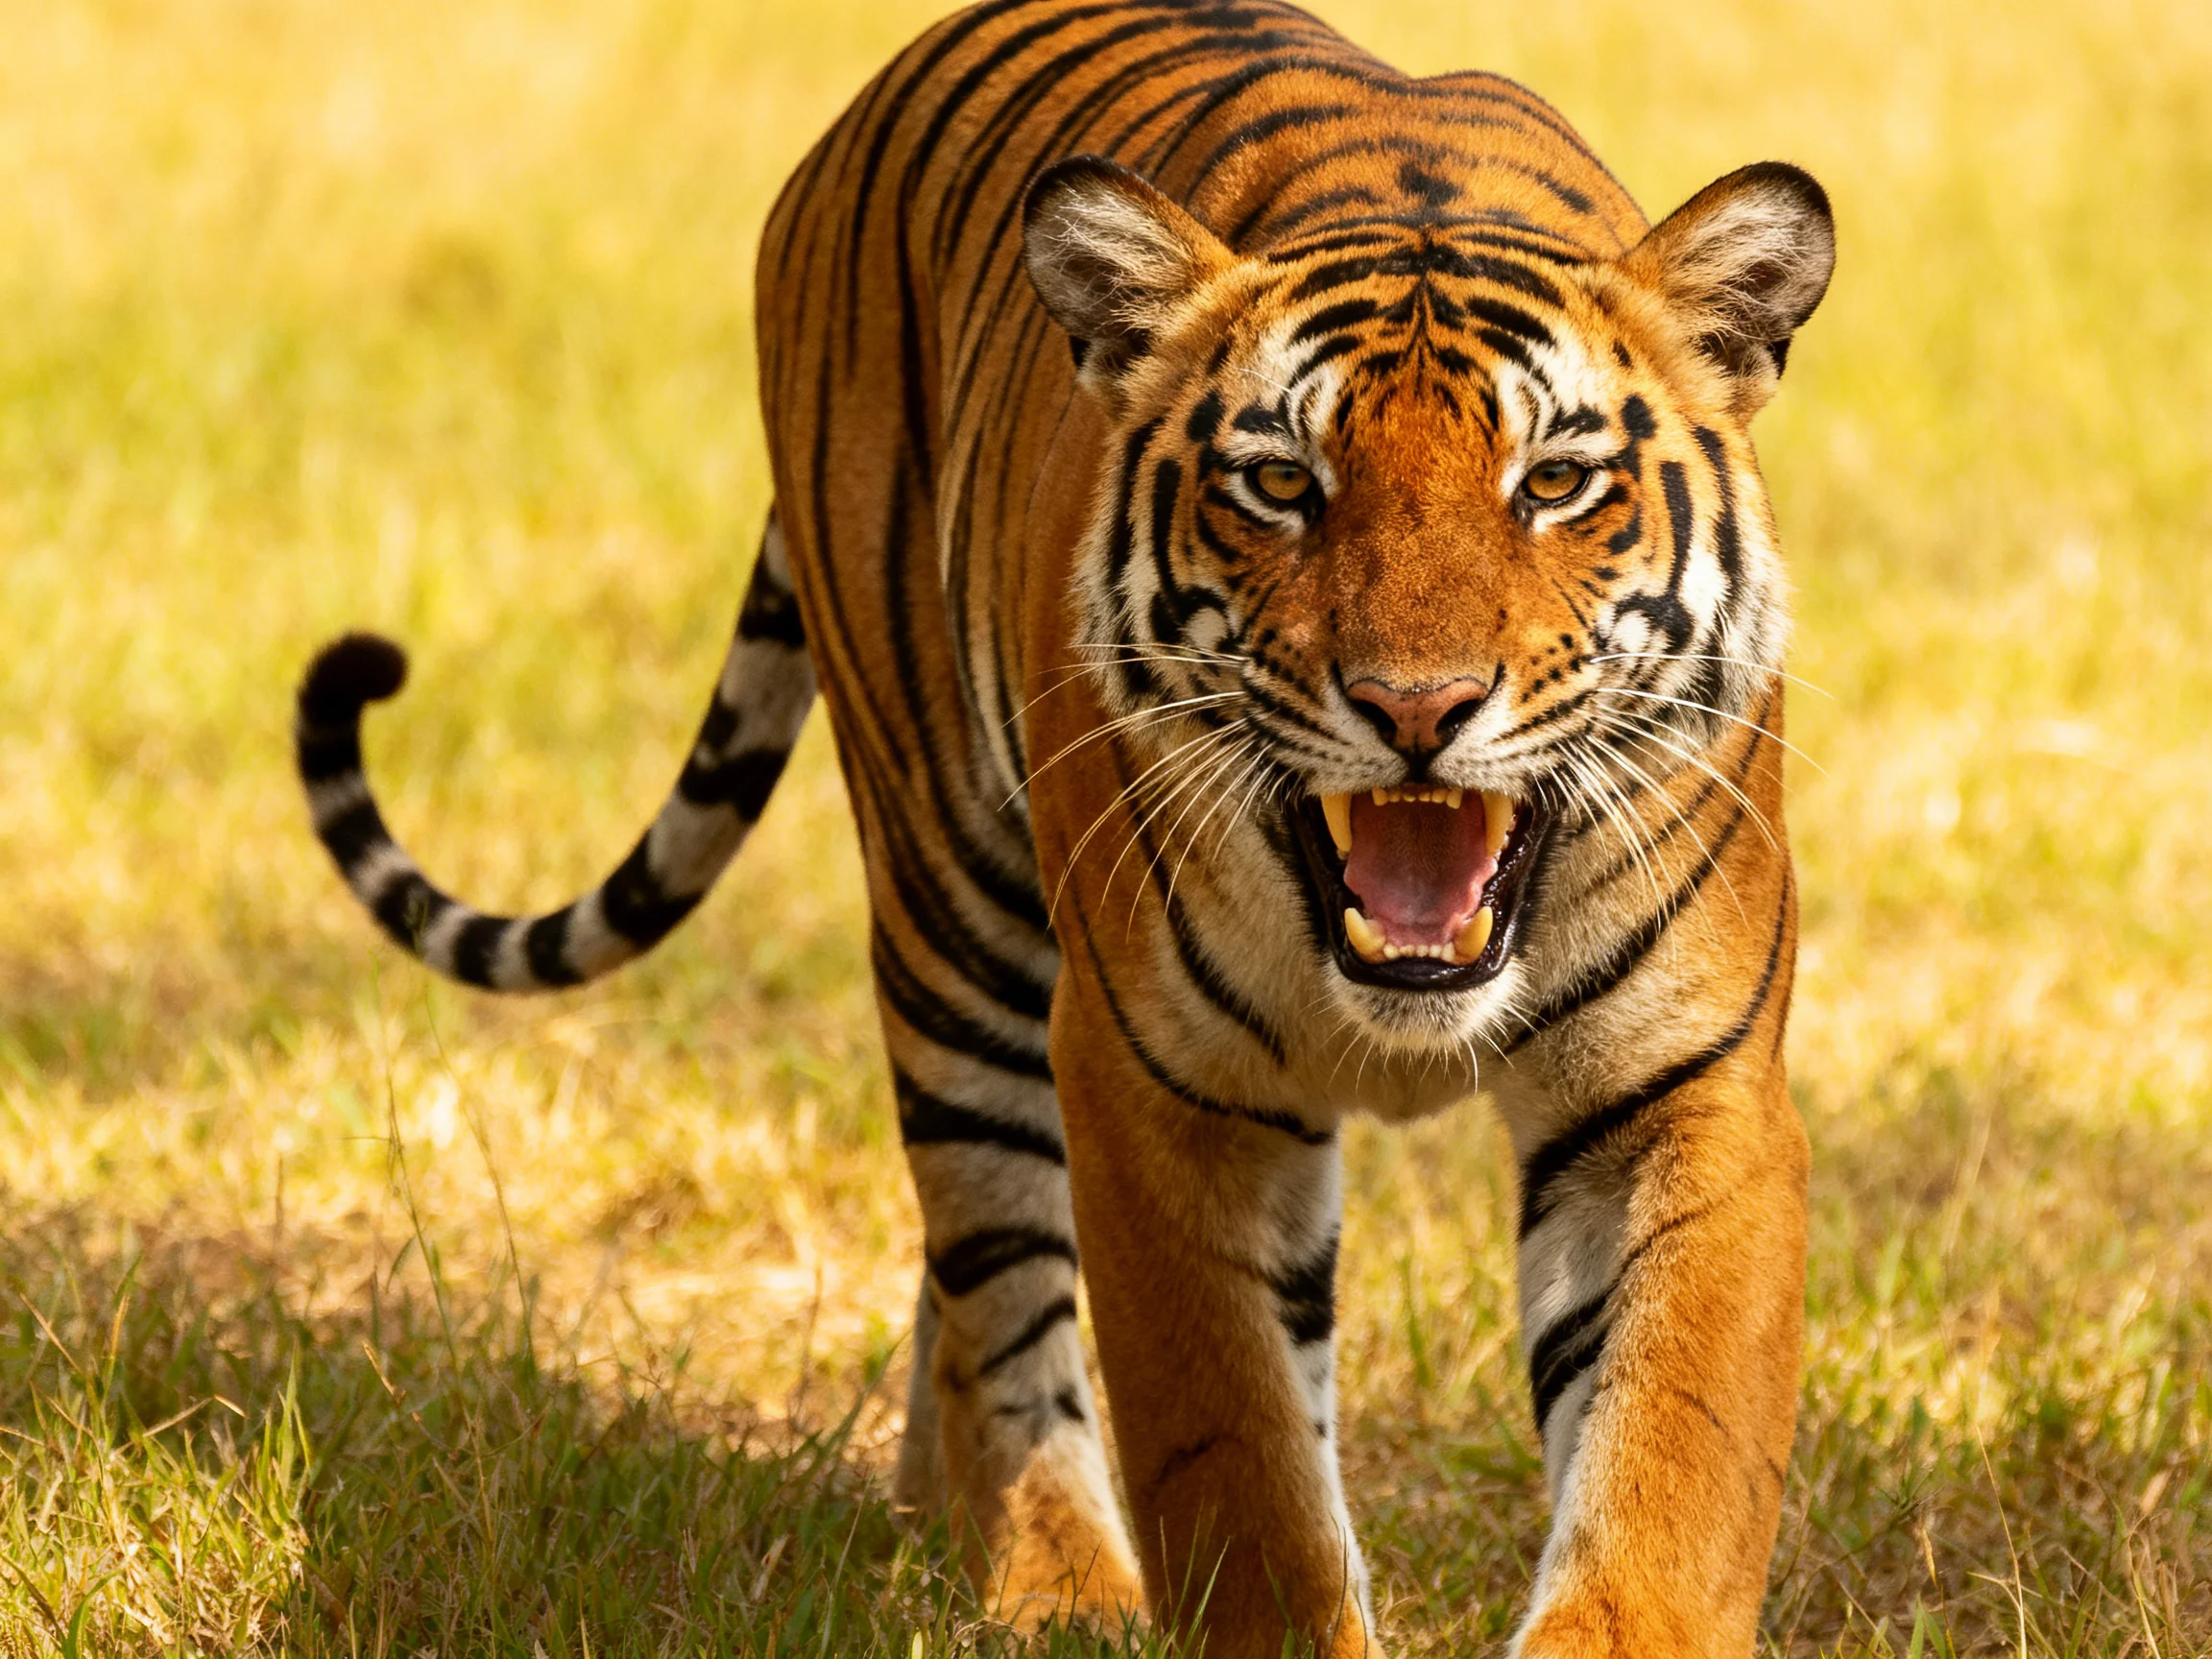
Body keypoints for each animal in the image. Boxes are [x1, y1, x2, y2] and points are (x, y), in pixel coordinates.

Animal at [294, 1, 1835, 1652]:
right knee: (998, 1282)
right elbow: (1241, 1471)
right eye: (1280, 482)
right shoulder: (1164, 1090)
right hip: (952, 916)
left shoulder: (1682, 1093)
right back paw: (1049, 1582)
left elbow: (1668, 1455)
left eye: (1554, 482)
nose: (1415, 706)